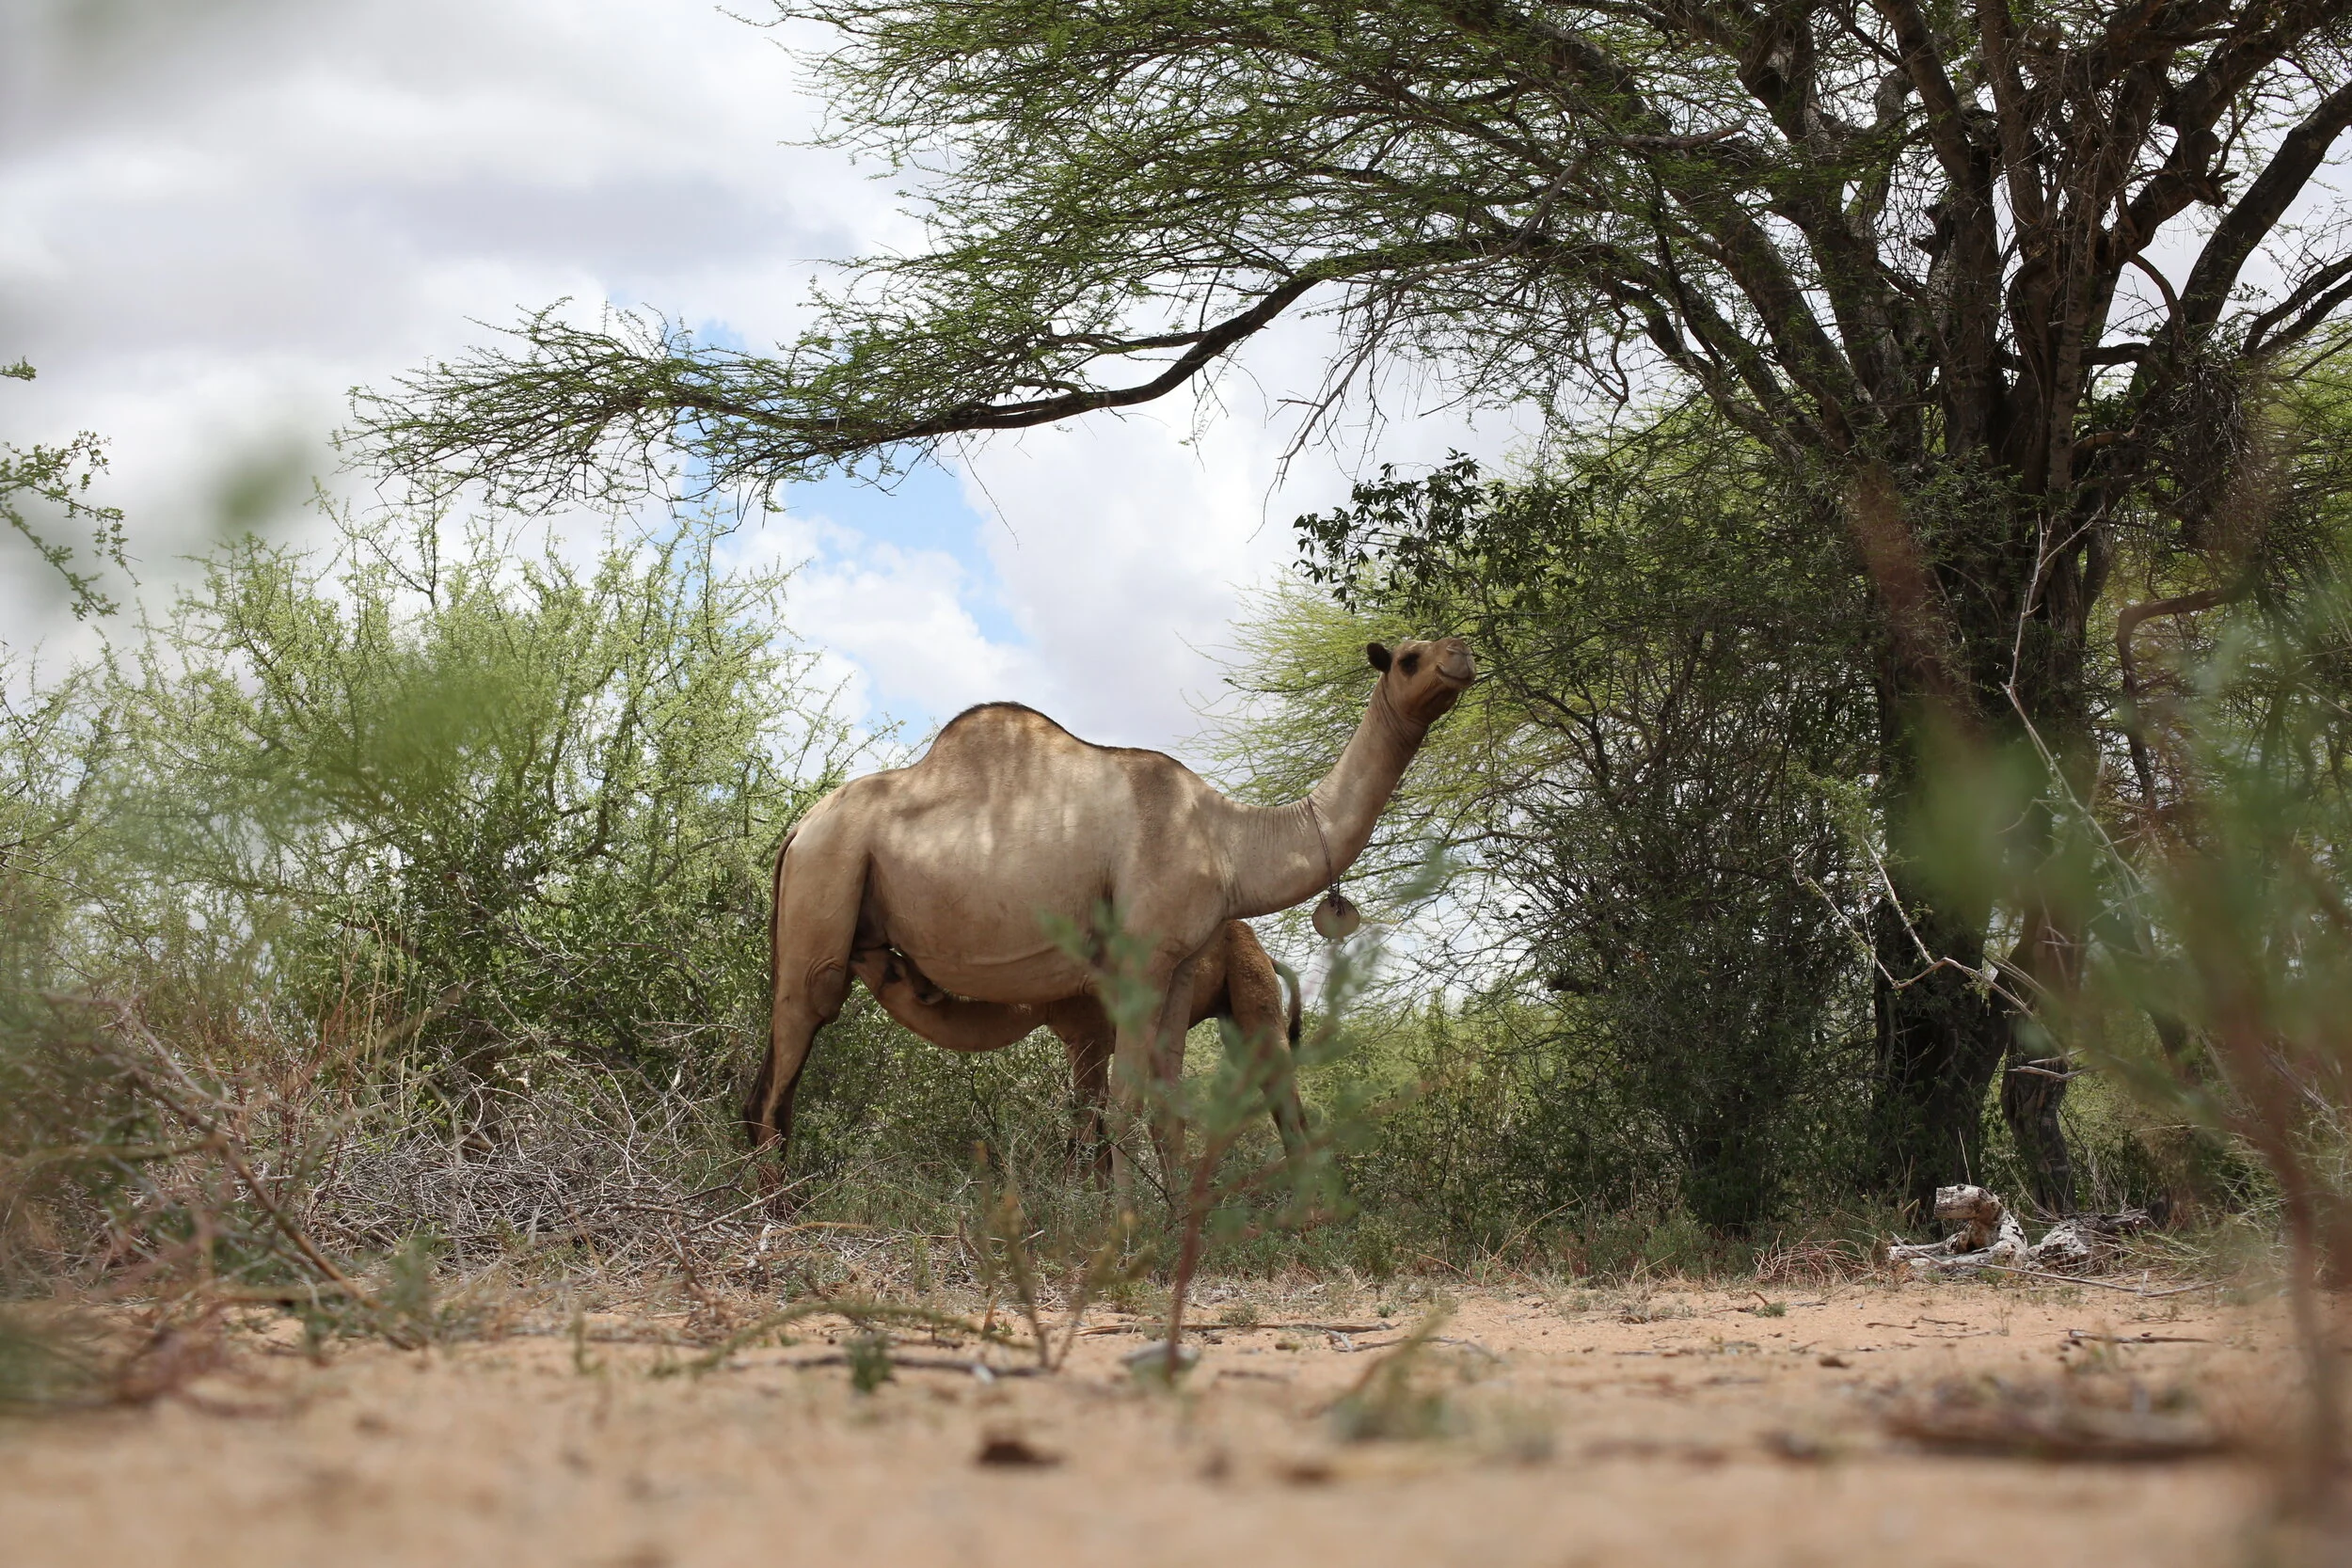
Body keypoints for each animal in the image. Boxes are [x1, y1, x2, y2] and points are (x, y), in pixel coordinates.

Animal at [849, 919, 1304, 1167]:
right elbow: (1093, 1121)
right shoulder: (1077, 1038)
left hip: (1252, 991)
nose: (856, 950)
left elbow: (1085, 1124)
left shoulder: (1092, 1033)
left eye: (892, 970)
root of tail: (1265, 951)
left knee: (1282, 1092)